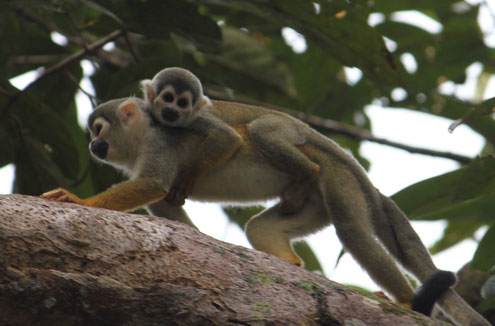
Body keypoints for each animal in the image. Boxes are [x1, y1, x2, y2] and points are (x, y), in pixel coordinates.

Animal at [42, 95, 492, 324]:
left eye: (98, 130)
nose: (93, 146)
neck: (146, 133)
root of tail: (344, 161)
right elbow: (169, 208)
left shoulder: (163, 142)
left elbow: (154, 185)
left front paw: (78, 201)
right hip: (309, 202)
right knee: (261, 228)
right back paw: (290, 266)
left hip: (333, 178)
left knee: (352, 230)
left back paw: (404, 303)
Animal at [140, 67, 318, 213]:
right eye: (168, 98)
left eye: (182, 103)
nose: (172, 110)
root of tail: (300, 124)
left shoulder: (197, 119)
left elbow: (227, 136)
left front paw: (188, 174)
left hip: (283, 128)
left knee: (261, 133)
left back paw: (311, 172)